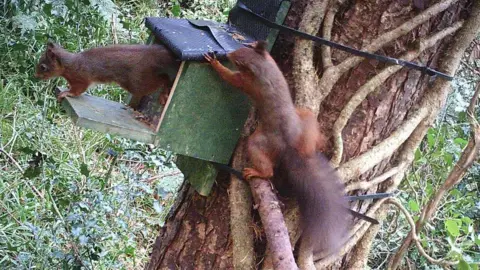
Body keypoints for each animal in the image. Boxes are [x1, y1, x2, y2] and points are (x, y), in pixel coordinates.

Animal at [34, 41, 179, 109]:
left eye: (43, 67)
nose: (36, 76)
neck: (70, 64)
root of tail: (151, 55)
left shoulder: (81, 78)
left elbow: (78, 90)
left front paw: (66, 93)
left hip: (137, 82)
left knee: (162, 80)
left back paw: (165, 91)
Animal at [204, 42, 350, 255]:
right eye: (243, 47)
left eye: (239, 61)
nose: (227, 54)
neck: (264, 69)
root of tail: (289, 147)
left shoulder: (246, 82)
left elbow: (230, 78)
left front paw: (214, 63)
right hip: (305, 119)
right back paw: (320, 142)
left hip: (259, 143)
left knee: (268, 168)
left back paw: (257, 172)